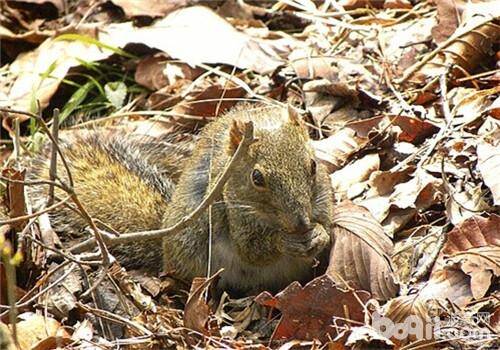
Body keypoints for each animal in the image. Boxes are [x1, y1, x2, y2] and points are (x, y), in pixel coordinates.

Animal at [27, 104, 332, 296]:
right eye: (257, 178)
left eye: (313, 165)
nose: (300, 223)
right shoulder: (233, 210)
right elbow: (252, 250)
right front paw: (285, 241)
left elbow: (329, 227)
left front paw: (318, 234)